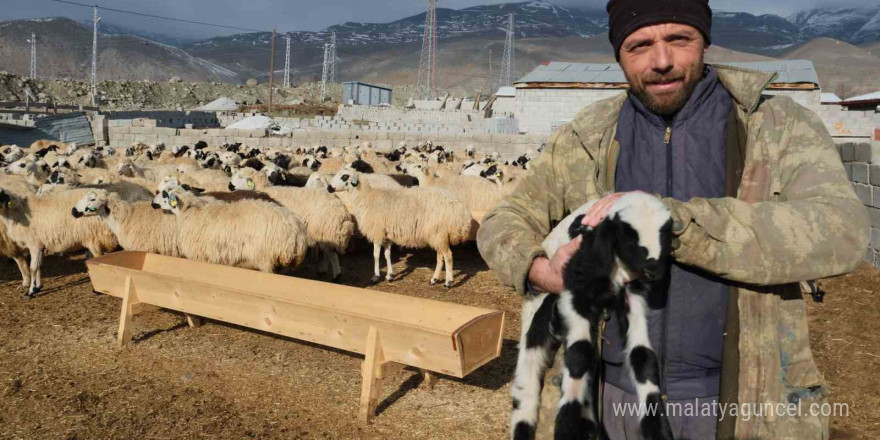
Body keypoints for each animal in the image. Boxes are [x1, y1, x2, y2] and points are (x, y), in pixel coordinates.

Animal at [508, 193, 672, 440]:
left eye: (665, 238)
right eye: (631, 241)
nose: (654, 270)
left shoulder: (630, 293)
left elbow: (642, 355)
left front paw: (658, 429)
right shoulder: (578, 283)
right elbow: (579, 353)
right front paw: (565, 424)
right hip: (537, 314)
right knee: (525, 391)